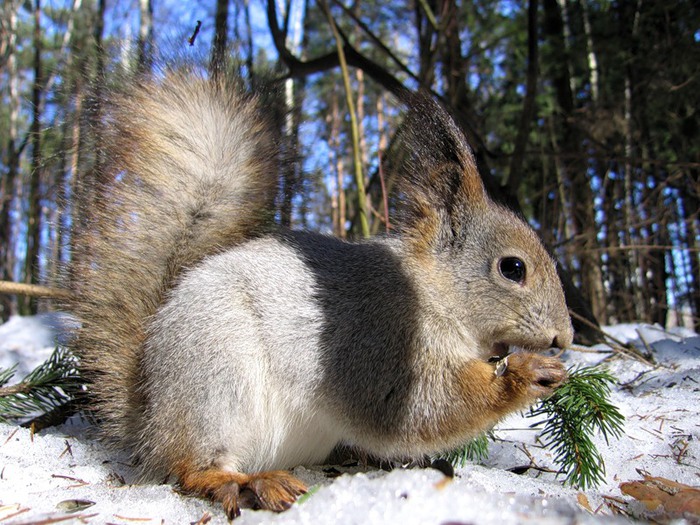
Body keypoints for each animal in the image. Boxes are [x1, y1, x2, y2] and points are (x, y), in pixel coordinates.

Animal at [65, 66, 572, 520]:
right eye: (512, 268)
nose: (564, 338)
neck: (432, 291)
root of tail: (150, 415)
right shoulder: (379, 342)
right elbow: (419, 409)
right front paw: (525, 375)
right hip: (215, 383)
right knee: (189, 467)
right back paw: (246, 483)